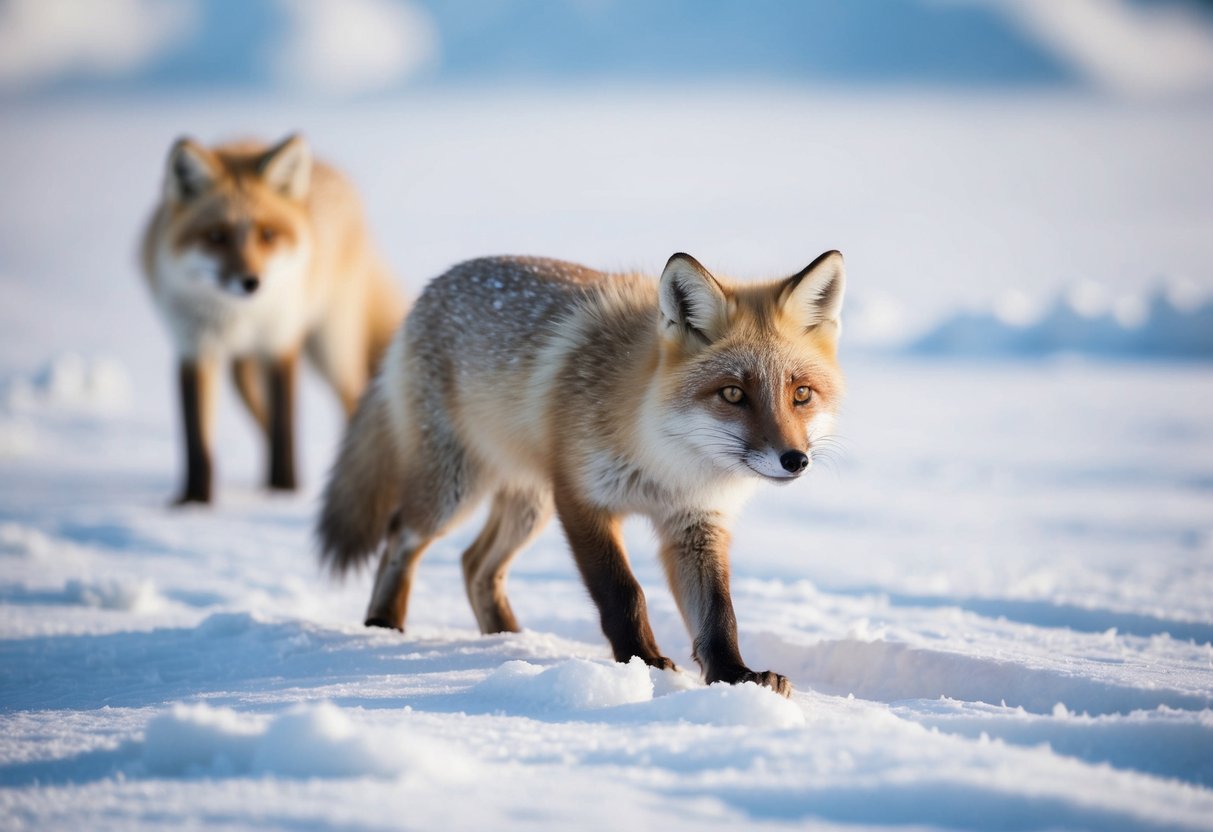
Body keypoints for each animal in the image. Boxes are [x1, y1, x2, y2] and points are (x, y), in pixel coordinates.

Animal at [141, 134, 405, 504]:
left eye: (267, 234)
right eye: (216, 236)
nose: (251, 282)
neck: (239, 316)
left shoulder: (280, 343)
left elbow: (284, 430)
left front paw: (283, 491)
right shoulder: (194, 348)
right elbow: (197, 440)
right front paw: (195, 503)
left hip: (328, 348)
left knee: (353, 396)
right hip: (243, 373)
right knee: (258, 411)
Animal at [317, 251, 845, 696]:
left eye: (800, 394)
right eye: (733, 394)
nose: (794, 459)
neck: (665, 463)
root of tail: (432, 288)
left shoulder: (695, 524)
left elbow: (719, 614)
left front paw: (735, 676)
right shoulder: (582, 499)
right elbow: (622, 591)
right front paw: (643, 662)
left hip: (530, 505)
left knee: (475, 564)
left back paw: (507, 643)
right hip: (455, 493)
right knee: (400, 537)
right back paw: (384, 626)